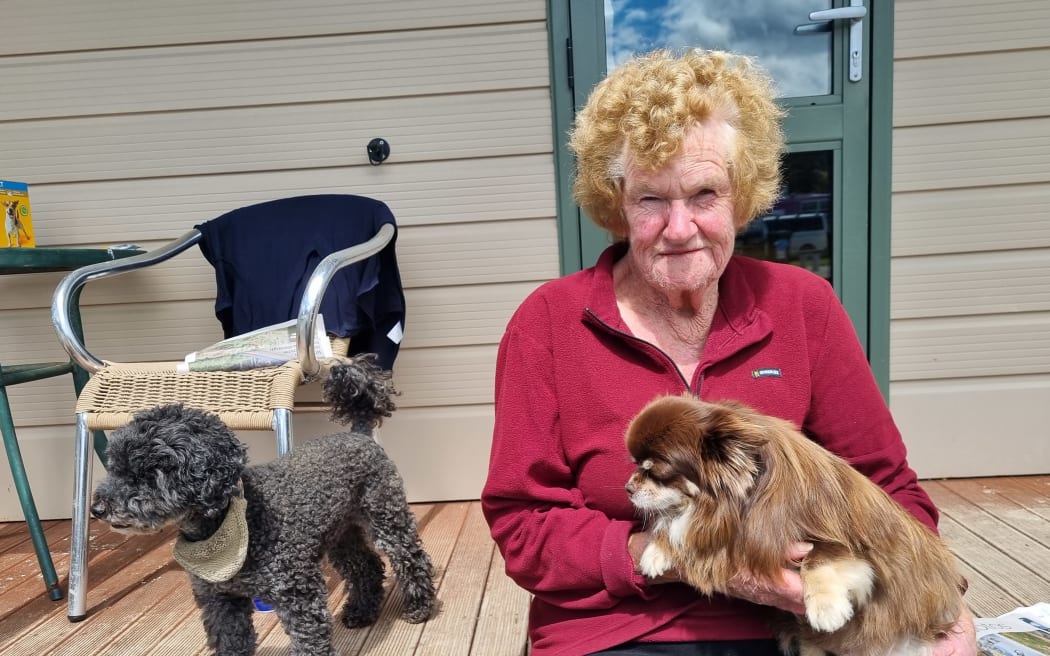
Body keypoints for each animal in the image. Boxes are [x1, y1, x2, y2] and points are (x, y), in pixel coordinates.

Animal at [621, 394, 961, 654]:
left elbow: (819, 558)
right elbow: (677, 526)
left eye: (656, 471)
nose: (628, 487)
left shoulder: (847, 544)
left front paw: (826, 607)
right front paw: (655, 550)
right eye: (636, 466)